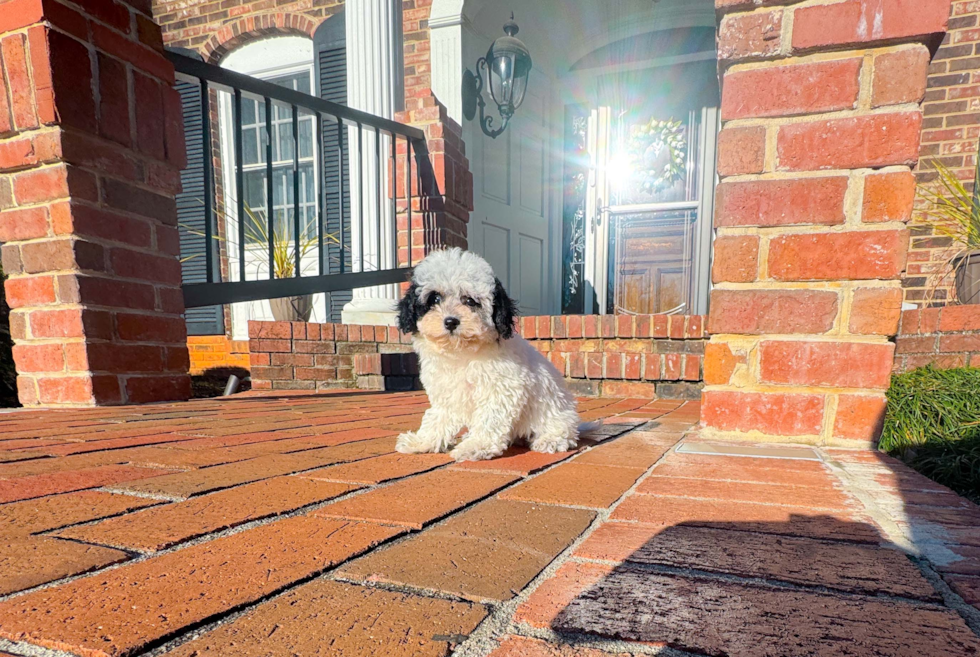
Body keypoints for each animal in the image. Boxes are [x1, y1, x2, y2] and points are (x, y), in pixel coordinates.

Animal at [396, 246, 584, 462]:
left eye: (470, 301)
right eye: (434, 299)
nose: (451, 321)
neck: (462, 353)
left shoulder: (501, 389)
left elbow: (489, 420)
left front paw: (476, 446)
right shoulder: (446, 392)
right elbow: (437, 417)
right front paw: (422, 442)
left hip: (556, 413)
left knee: (563, 430)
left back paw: (550, 440)